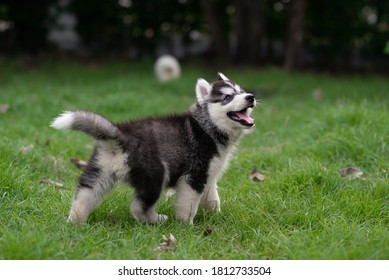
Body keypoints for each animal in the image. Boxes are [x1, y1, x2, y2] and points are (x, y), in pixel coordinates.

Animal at [51, 72, 256, 225]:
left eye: (241, 91)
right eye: (228, 97)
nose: (251, 97)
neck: (208, 126)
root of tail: (120, 135)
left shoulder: (208, 175)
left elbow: (212, 198)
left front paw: (216, 216)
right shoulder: (193, 175)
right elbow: (188, 205)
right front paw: (187, 226)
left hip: (99, 173)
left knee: (83, 196)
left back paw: (75, 223)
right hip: (155, 175)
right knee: (139, 207)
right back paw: (157, 220)